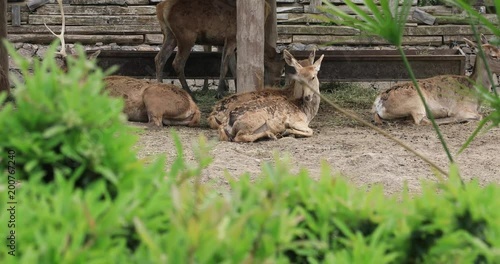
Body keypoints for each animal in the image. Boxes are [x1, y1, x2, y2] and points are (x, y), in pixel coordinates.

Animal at [152, 0, 286, 98]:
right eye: (281, 69)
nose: (277, 85)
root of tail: (161, 7)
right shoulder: (231, 39)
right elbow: (224, 67)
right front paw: (219, 93)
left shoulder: (229, 44)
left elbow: (234, 68)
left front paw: (236, 91)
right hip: (186, 36)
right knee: (177, 63)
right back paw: (190, 93)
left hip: (169, 35)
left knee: (159, 58)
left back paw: (160, 87)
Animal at [372, 36, 500, 126]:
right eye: (494, 56)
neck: (477, 96)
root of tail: (378, 102)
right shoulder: (463, 108)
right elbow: (480, 116)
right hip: (416, 102)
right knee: (422, 120)